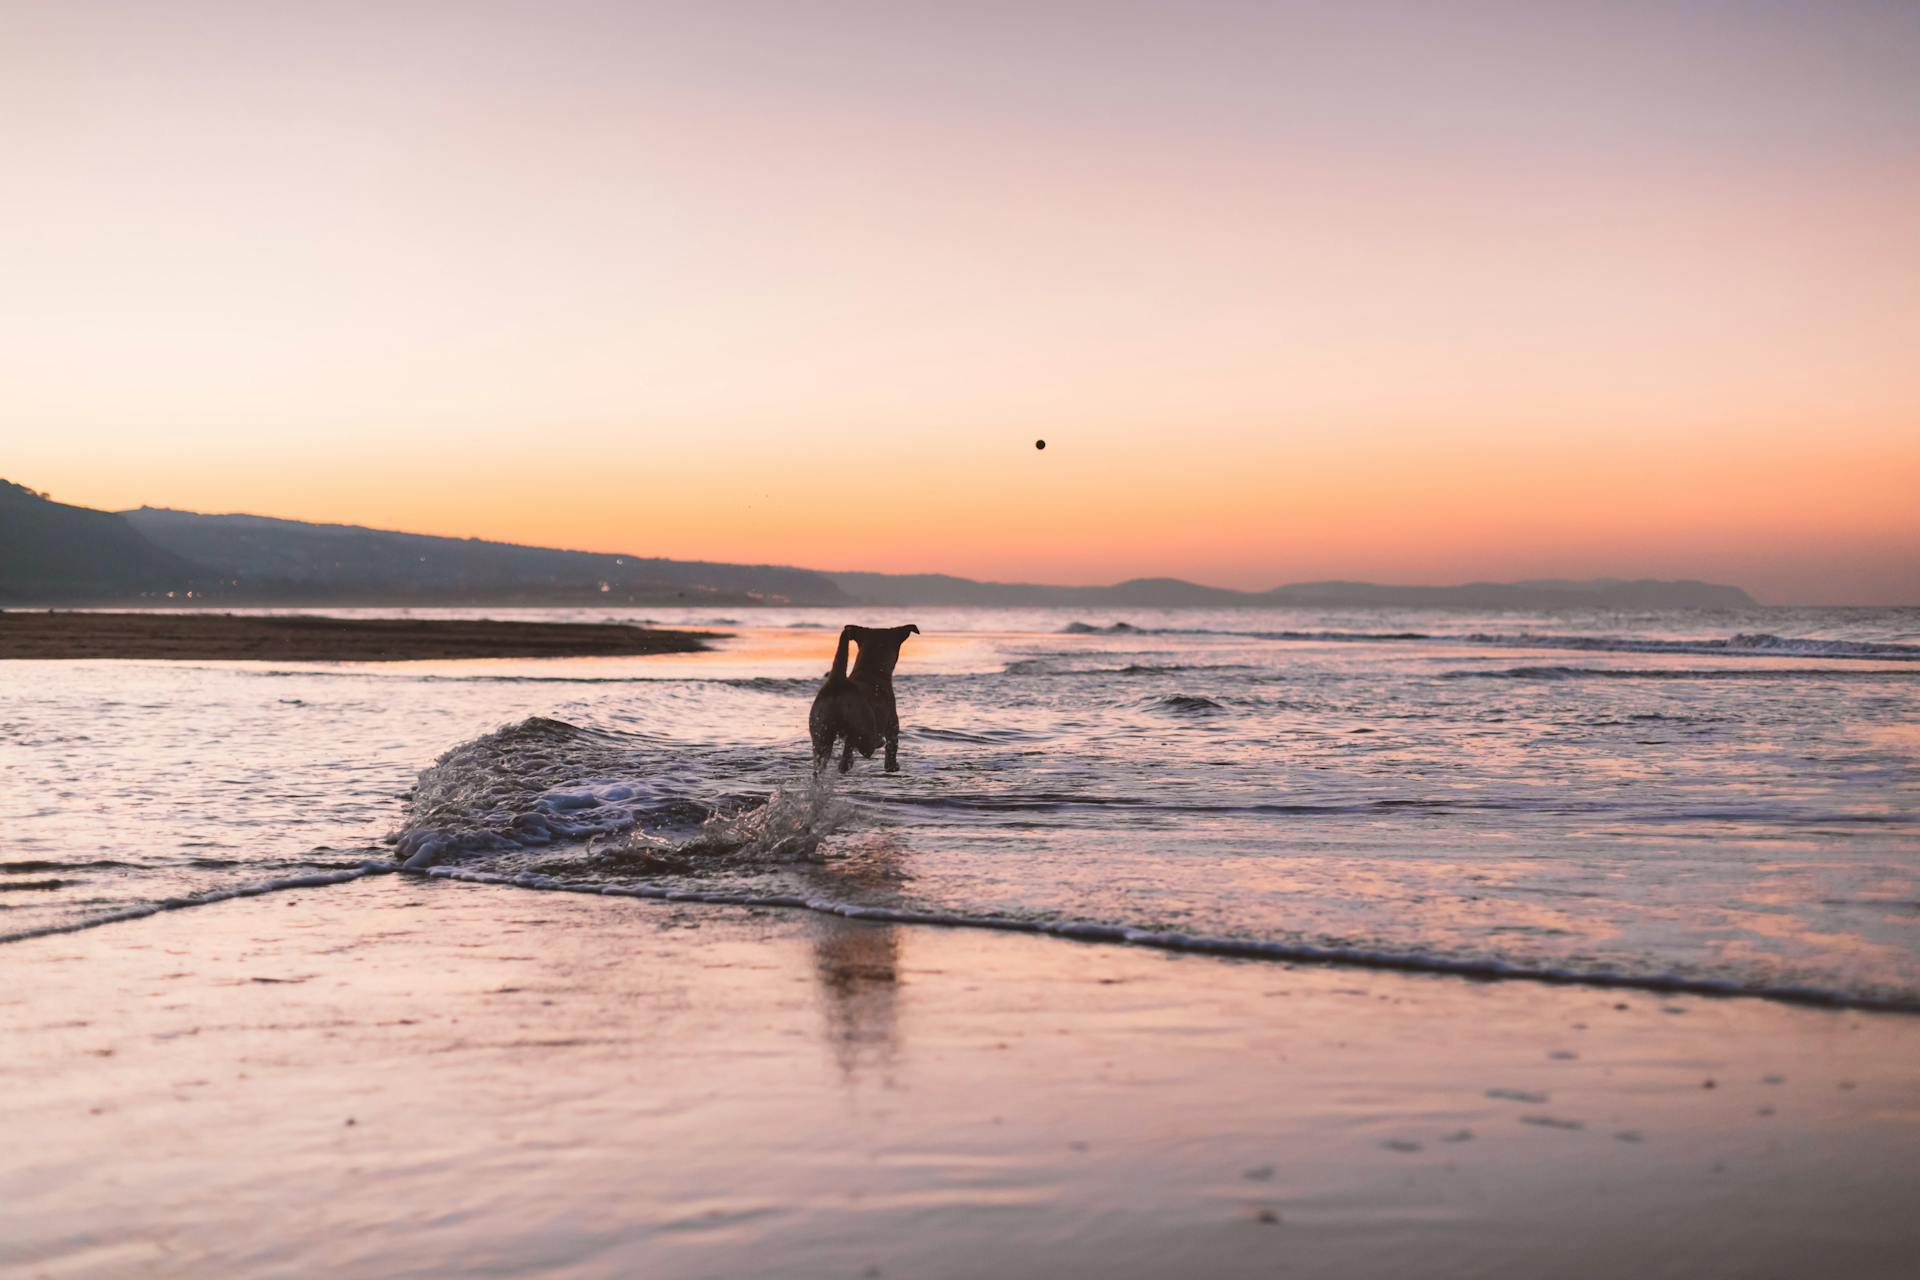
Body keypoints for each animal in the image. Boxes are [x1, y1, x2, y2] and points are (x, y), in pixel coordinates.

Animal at [806, 625, 917, 775]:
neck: (871, 671)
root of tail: (837, 682)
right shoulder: (892, 724)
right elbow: (892, 747)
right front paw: (892, 766)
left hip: (820, 731)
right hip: (863, 724)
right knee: (865, 746)